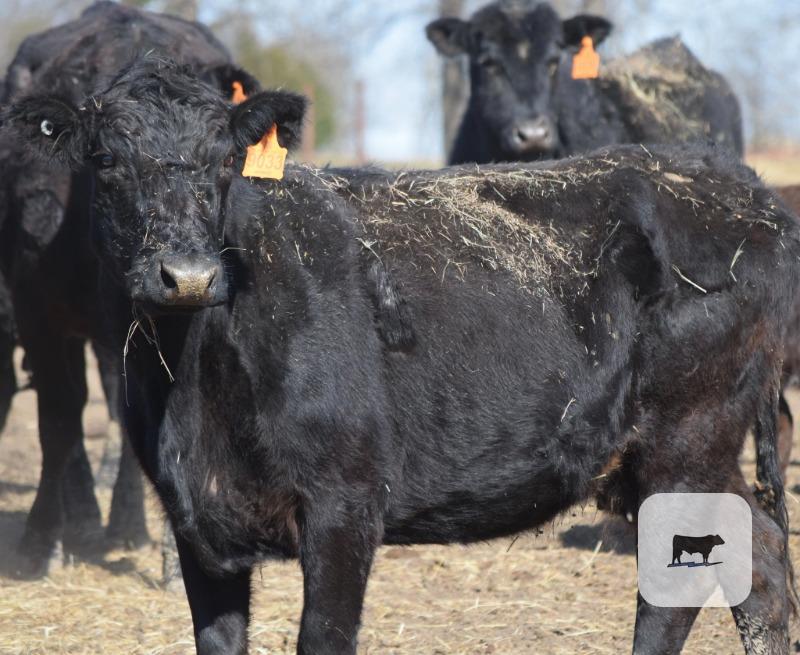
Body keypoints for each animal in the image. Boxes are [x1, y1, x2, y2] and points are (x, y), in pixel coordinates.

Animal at [0, 1, 260, 576]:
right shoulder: (36, 309)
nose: (187, 276)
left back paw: (124, 524)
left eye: (227, 159)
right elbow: (58, 419)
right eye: (107, 159)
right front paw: (41, 541)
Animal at [6, 58, 797, 654]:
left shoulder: (346, 502)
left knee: (680, 587)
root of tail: (741, 190)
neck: (198, 391)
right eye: (107, 159)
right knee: (760, 559)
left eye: (225, 160)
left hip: (686, 438)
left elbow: (323, 638)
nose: (189, 274)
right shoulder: (195, 518)